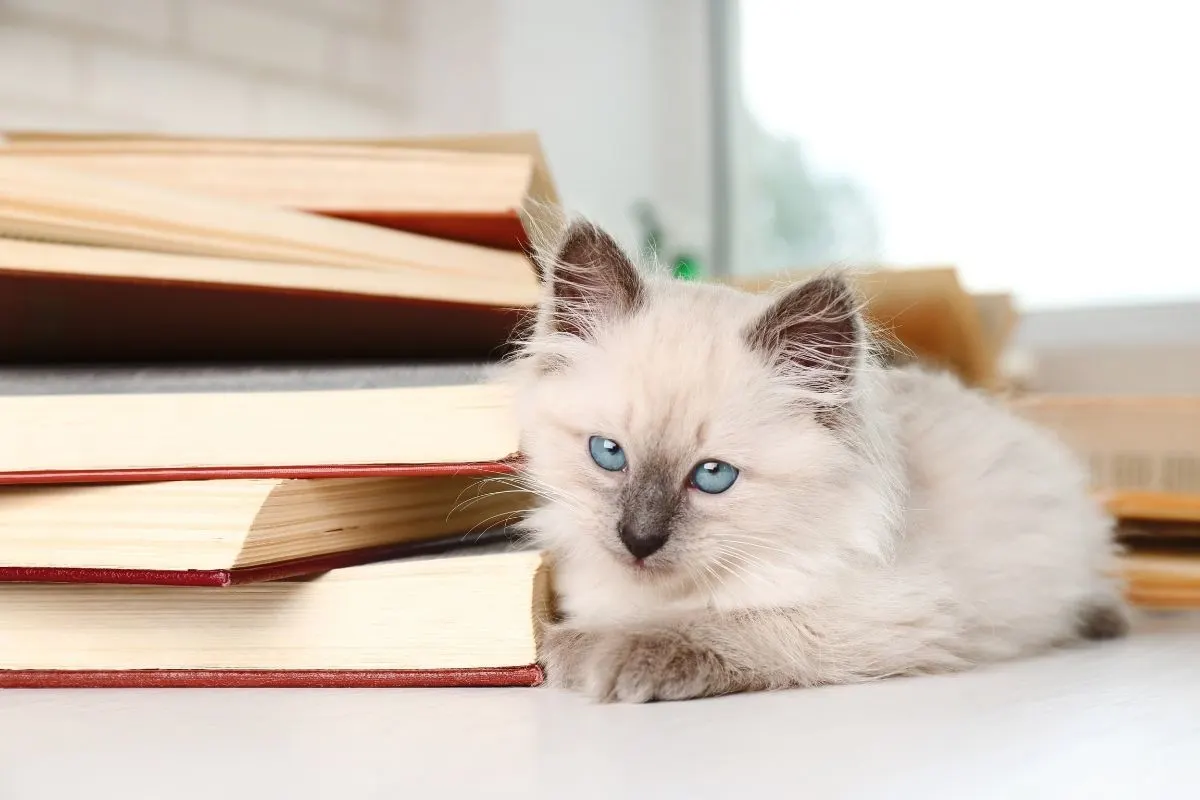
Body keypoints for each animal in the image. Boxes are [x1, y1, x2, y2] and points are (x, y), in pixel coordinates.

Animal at [501, 217, 1128, 700]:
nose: (638, 540)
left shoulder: (879, 613)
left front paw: (605, 656)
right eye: (609, 454)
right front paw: (566, 649)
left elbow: (726, 624)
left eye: (713, 476)